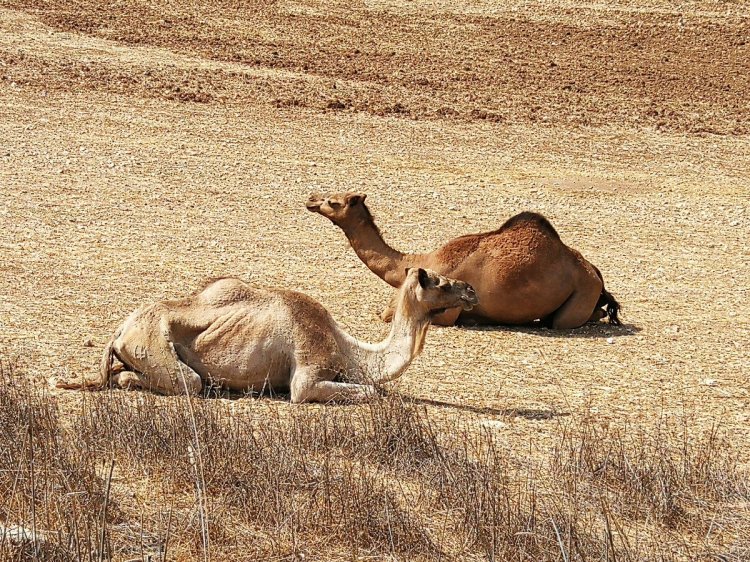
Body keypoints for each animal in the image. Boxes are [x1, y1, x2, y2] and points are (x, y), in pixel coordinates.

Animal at [55, 270, 478, 400]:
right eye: (438, 281)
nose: (471, 290)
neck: (347, 349)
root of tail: (121, 330)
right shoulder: (307, 373)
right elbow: (371, 393)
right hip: (157, 349)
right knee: (186, 382)